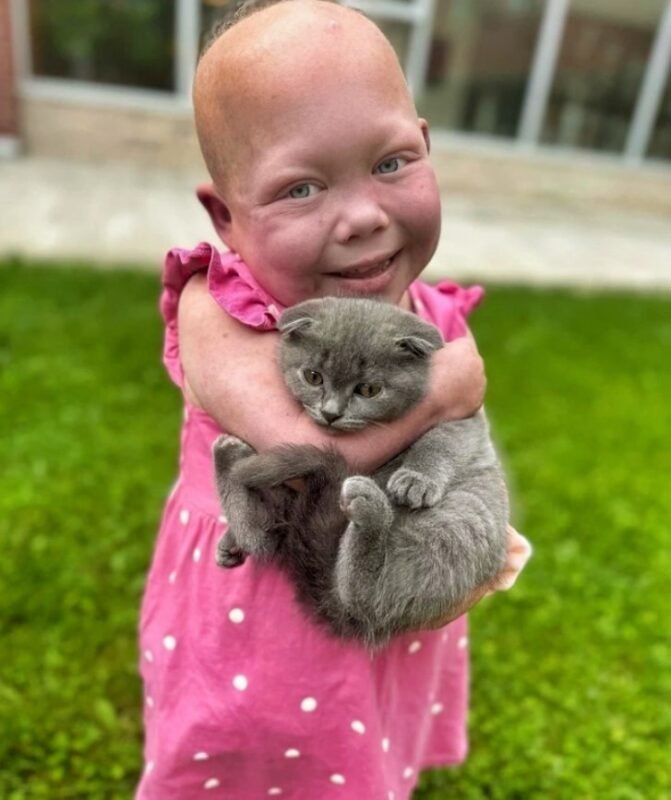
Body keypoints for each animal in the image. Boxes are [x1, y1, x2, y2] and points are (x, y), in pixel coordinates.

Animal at [213, 297, 509, 646]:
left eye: (368, 390)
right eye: (313, 377)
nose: (330, 413)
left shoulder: (465, 420)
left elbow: (439, 441)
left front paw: (415, 480)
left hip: (455, 527)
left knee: (371, 598)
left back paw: (369, 507)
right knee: (264, 538)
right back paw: (229, 460)